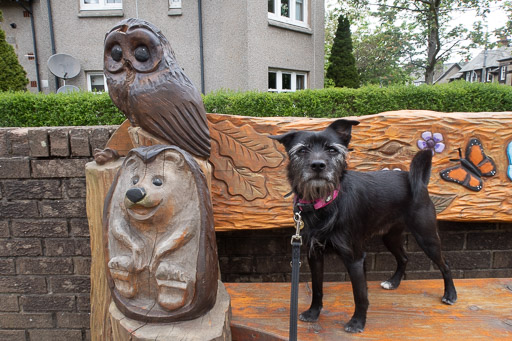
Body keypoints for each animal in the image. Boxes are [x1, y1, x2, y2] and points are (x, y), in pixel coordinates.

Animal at [270, 119, 458, 332]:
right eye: (302, 150)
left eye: (332, 150)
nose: (318, 165)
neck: (326, 202)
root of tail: (420, 182)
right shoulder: (314, 255)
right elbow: (317, 287)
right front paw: (313, 313)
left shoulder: (355, 258)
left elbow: (360, 294)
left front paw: (357, 322)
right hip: (390, 237)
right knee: (403, 257)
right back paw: (393, 282)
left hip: (427, 236)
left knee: (445, 264)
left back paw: (450, 294)